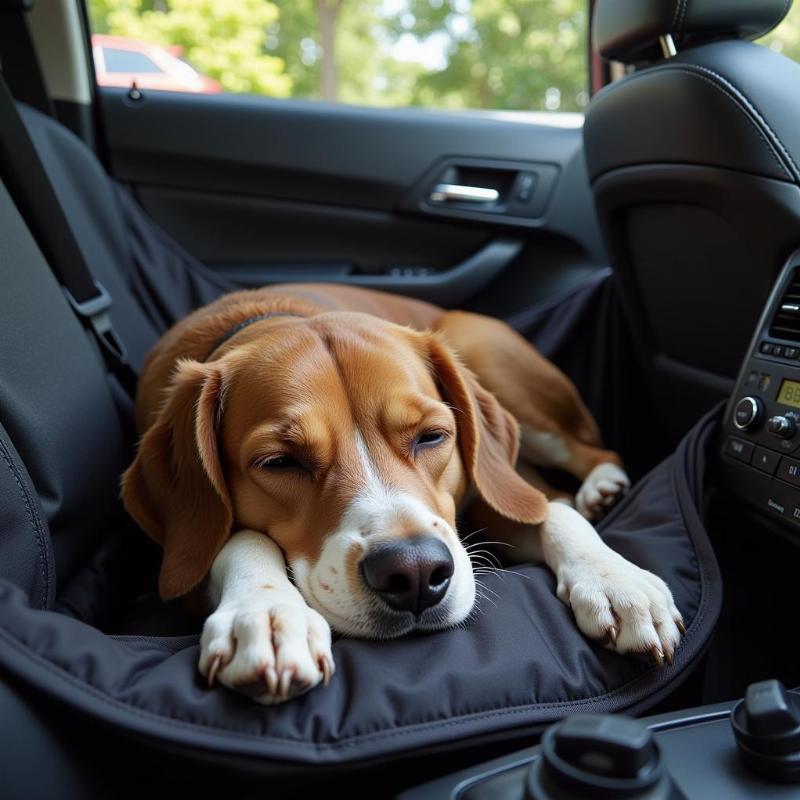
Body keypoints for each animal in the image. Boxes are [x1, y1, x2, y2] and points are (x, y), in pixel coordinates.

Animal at [122, 284, 684, 704]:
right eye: (280, 462)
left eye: (432, 436)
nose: (414, 572)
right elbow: (237, 540)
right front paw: (266, 612)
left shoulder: (484, 498)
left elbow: (549, 511)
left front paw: (616, 581)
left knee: (588, 455)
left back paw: (602, 487)